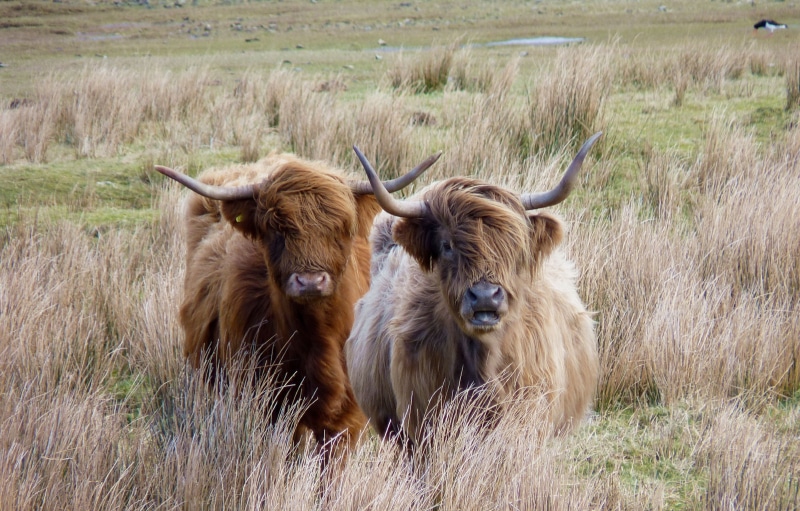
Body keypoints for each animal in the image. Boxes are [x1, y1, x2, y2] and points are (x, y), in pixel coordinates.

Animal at [154, 150, 439, 454]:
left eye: (342, 229)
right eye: (276, 229)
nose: (310, 281)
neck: (318, 339)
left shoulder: (345, 418)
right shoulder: (272, 407)